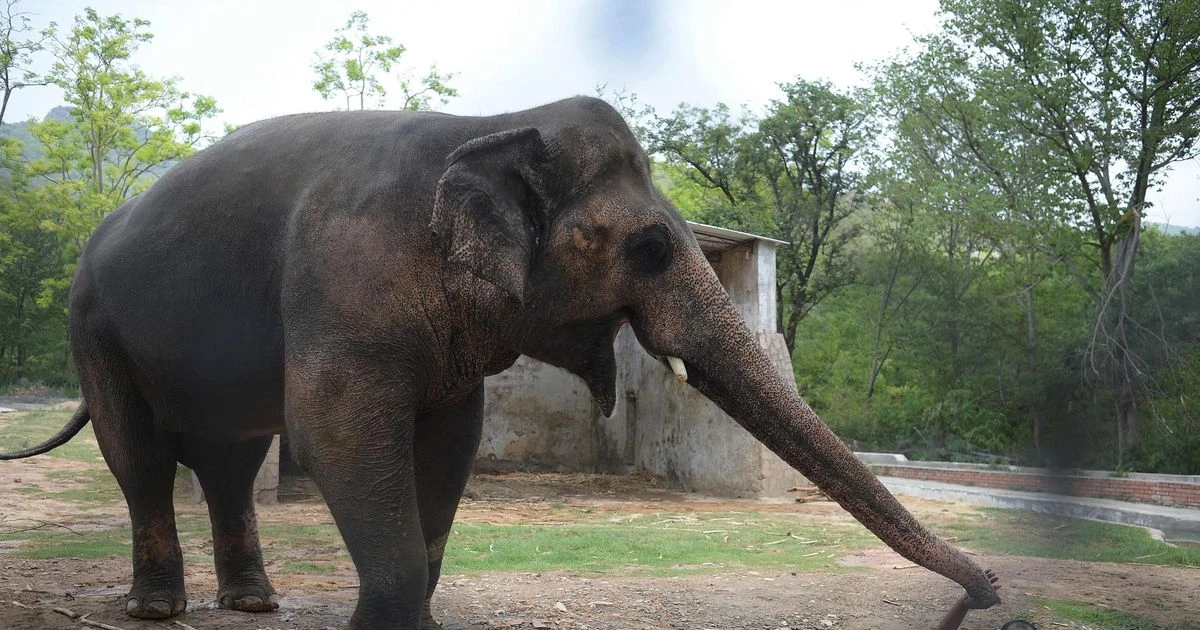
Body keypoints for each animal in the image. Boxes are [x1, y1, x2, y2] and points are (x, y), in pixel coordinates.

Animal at [0, 96, 1000, 629]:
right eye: (647, 248)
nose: (986, 595)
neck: (494, 123)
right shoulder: (343, 281)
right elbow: (338, 437)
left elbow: (450, 444)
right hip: (92, 328)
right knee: (139, 458)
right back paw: (156, 609)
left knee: (230, 463)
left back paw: (252, 603)